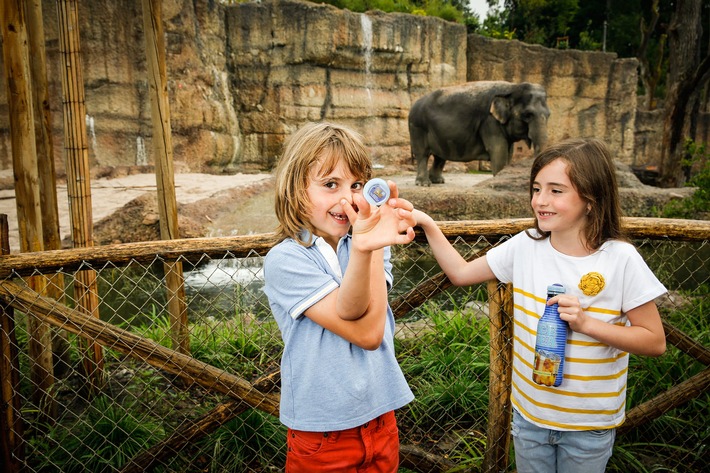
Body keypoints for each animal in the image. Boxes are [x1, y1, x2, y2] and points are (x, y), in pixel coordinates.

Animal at [408, 80, 552, 185]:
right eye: (528, 115)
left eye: (549, 115)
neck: (512, 87)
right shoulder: (490, 121)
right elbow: (499, 152)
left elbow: (508, 153)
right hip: (417, 127)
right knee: (423, 154)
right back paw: (424, 184)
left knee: (440, 156)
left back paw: (438, 181)